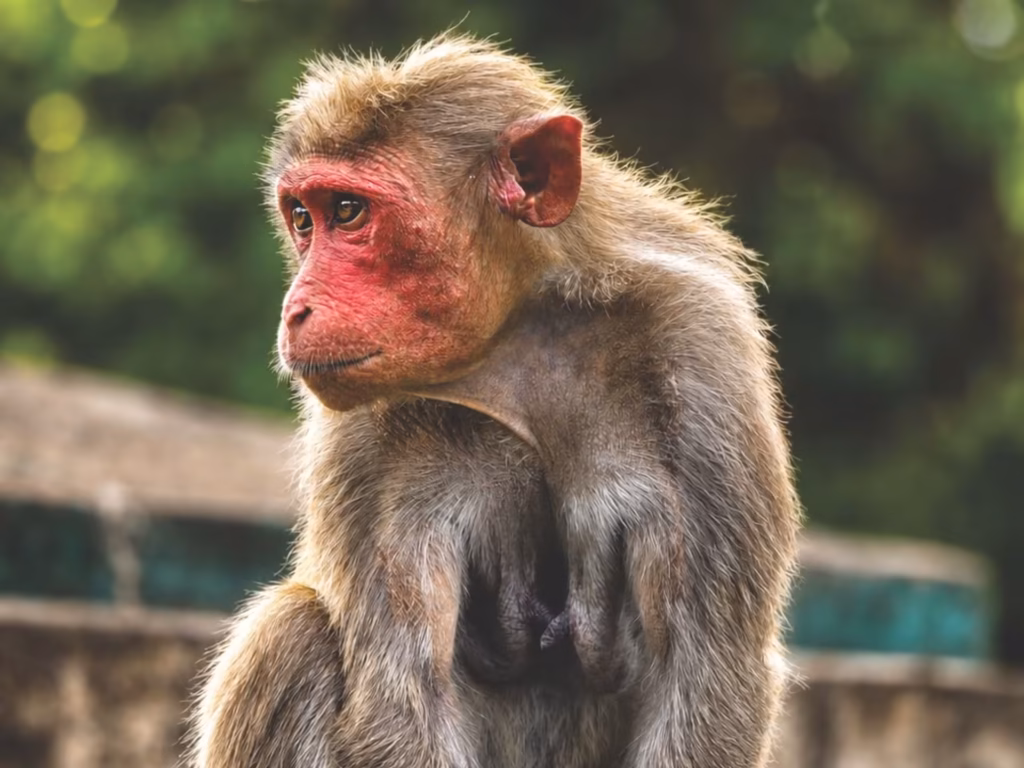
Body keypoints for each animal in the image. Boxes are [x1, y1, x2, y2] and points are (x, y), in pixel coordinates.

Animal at [189, 33, 800, 768]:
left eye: (348, 211)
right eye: (302, 218)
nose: (296, 308)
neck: (516, 340)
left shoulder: (702, 348)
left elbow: (704, 675)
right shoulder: (361, 432)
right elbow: (404, 695)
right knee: (294, 629)